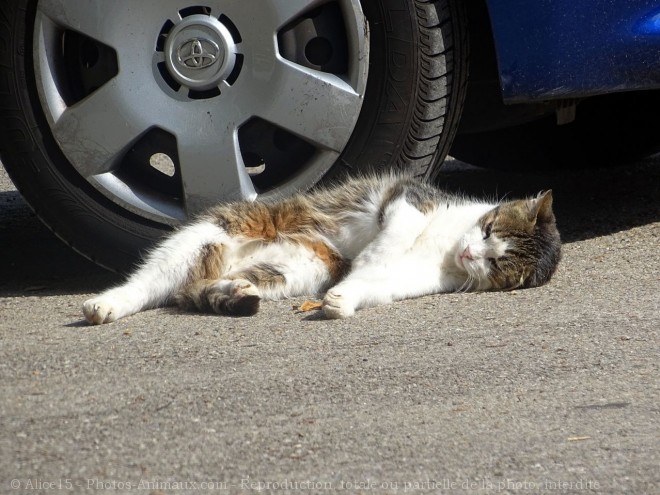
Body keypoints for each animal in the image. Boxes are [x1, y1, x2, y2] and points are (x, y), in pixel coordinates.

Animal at [80, 175, 560, 326]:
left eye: (496, 262)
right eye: (488, 229)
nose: (469, 255)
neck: (447, 249)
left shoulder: (416, 281)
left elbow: (375, 284)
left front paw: (344, 297)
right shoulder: (407, 201)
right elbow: (387, 245)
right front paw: (366, 263)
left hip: (293, 269)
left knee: (195, 289)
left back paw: (235, 292)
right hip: (208, 235)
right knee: (150, 283)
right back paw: (106, 304)